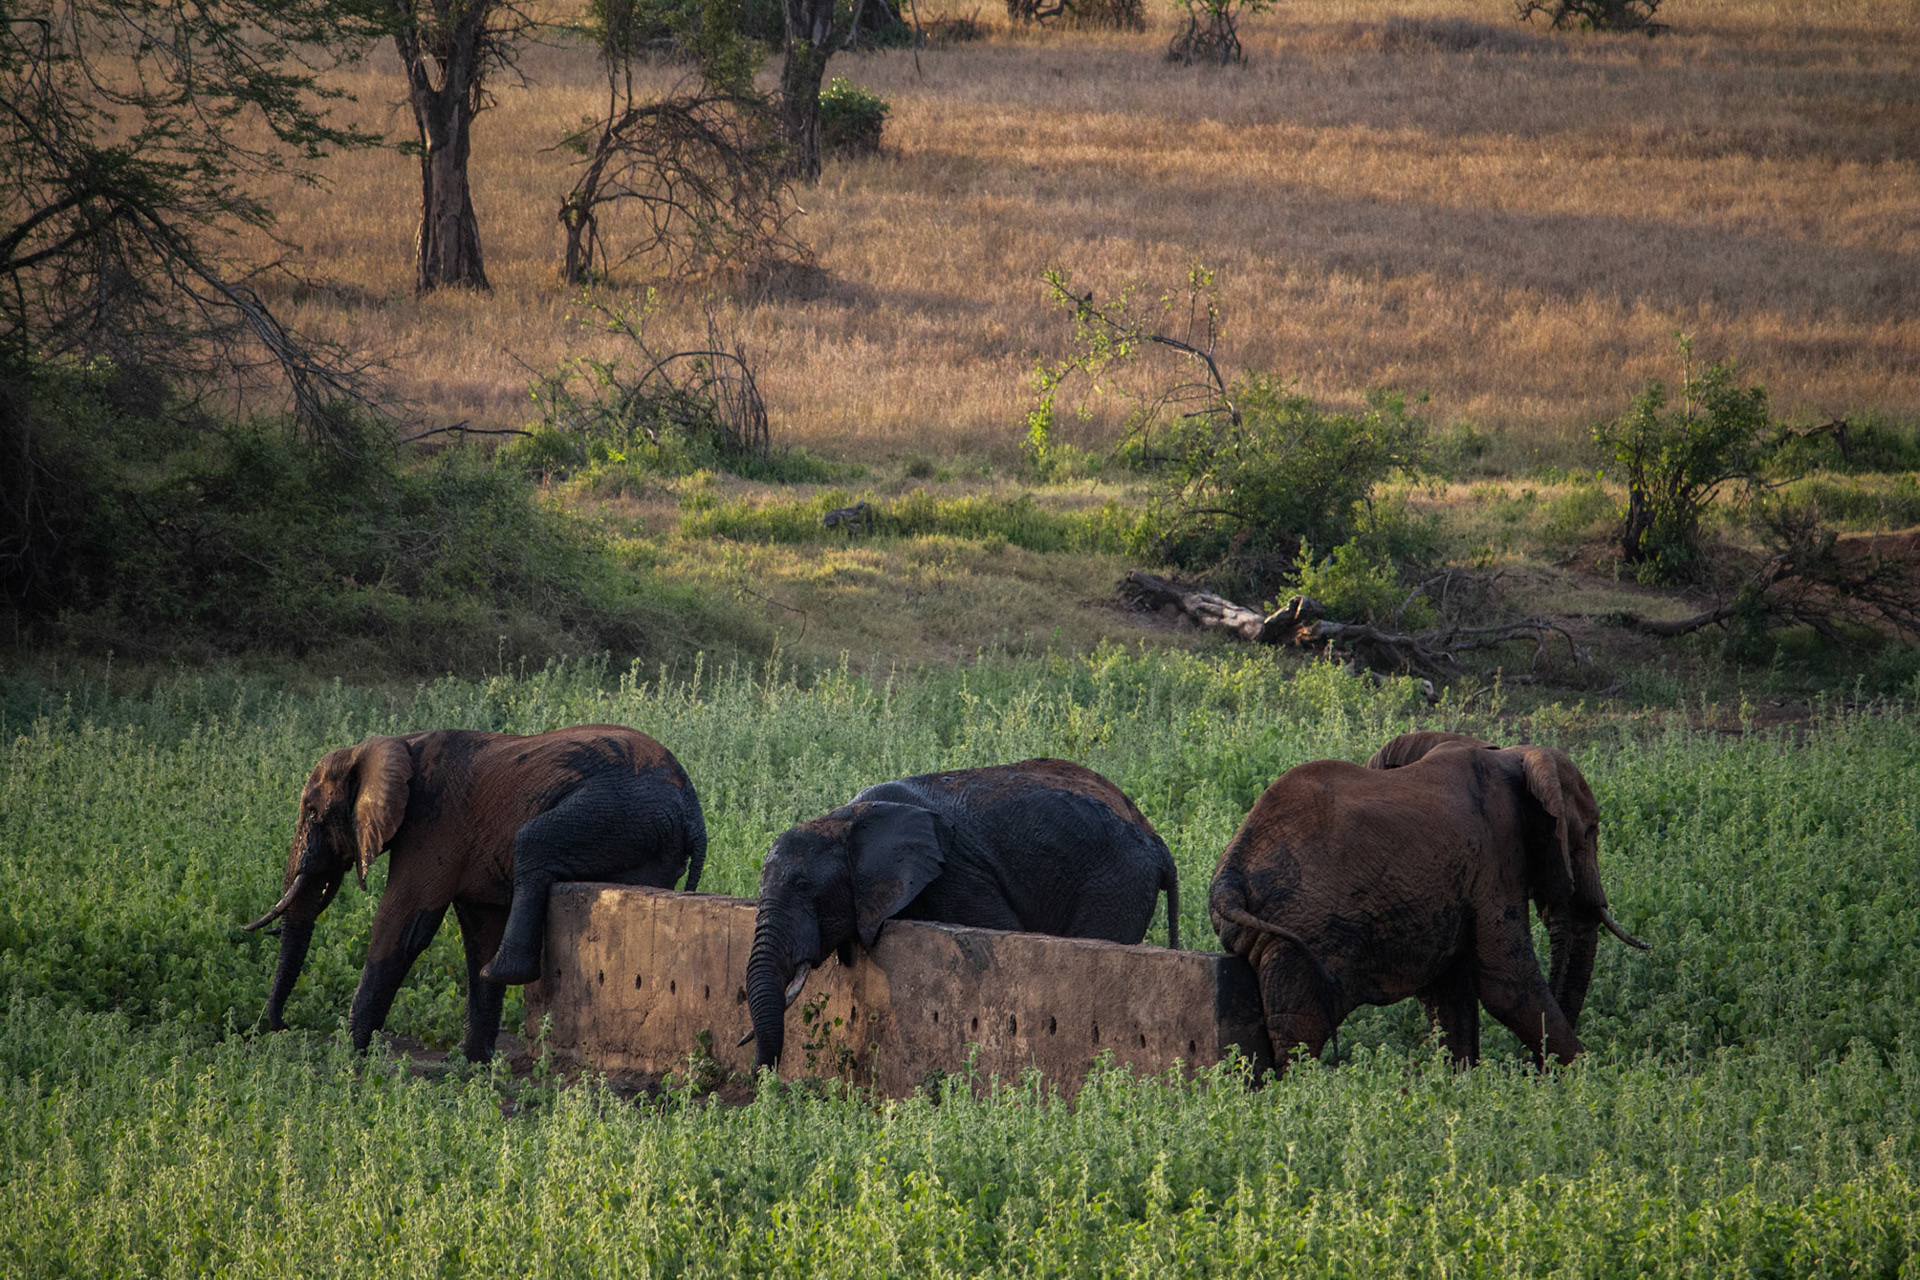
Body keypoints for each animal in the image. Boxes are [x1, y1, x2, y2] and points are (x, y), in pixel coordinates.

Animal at [243, 724, 706, 1060]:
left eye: (312, 813)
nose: (281, 1026)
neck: (387, 745)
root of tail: (692, 808)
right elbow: (479, 928)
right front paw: (470, 1064)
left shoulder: (432, 823)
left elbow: (402, 923)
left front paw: (346, 1056)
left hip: (618, 811)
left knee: (532, 842)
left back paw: (504, 970)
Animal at [744, 758, 1181, 1071]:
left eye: (805, 888)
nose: (763, 1083)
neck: (849, 818)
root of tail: (1158, 844)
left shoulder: (957, 873)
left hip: (1115, 882)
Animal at [1209, 731, 1648, 1070]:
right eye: (1590, 832)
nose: (1528, 1072)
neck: (1511, 755)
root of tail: (1230, 875)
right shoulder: (1496, 852)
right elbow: (1507, 983)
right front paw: (1589, 1080)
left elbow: (1449, 993)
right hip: (1304, 931)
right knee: (1300, 1035)